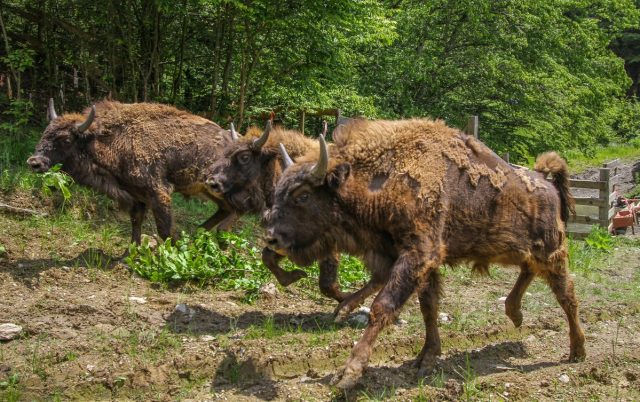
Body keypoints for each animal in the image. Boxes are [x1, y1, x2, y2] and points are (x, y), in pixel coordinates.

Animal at [28, 99, 235, 245]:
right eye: (45, 133)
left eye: (66, 140)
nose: (34, 162)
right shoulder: (136, 196)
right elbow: (136, 221)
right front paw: (131, 252)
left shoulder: (158, 193)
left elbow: (164, 230)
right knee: (225, 209)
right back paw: (199, 233)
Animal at [208, 122, 352, 302]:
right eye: (227, 151)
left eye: (245, 157)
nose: (212, 182)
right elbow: (267, 257)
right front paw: (295, 276)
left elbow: (326, 281)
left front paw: (346, 297)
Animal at [268, 119, 588, 390]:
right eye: (278, 190)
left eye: (303, 195)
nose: (272, 237)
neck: (384, 177)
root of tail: (546, 183)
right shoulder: (411, 260)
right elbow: (428, 307)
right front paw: (425, 359)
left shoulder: (418, 254)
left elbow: (383, 307)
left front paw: (348, 373)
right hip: (522, 250)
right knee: (531, 273)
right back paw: (516, 314)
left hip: (552, 252)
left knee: (567, 295)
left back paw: (577, 351)